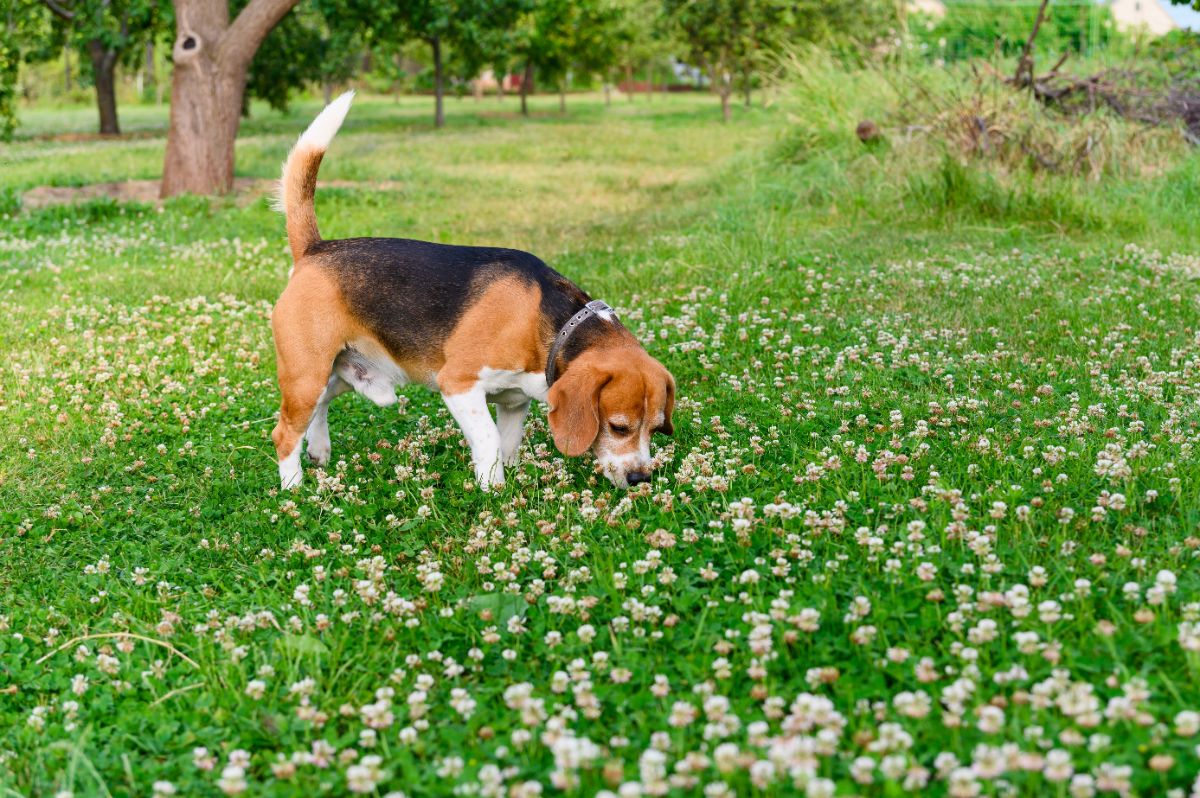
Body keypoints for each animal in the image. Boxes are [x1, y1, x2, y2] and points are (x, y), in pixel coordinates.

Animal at [270, 94, 676, 492]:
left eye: (657, 428)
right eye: (618, 427)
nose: (640, 479)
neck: (553, 322)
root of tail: (314, 249)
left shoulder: (513, 402)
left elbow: (508, 443)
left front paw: (505, 486)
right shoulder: (459, 384)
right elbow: (489, 439)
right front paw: (490, 489)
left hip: (337, 373)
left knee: (318, 410)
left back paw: (319, 451)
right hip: (306, 374)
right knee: (284, 433)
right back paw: (293, 487)